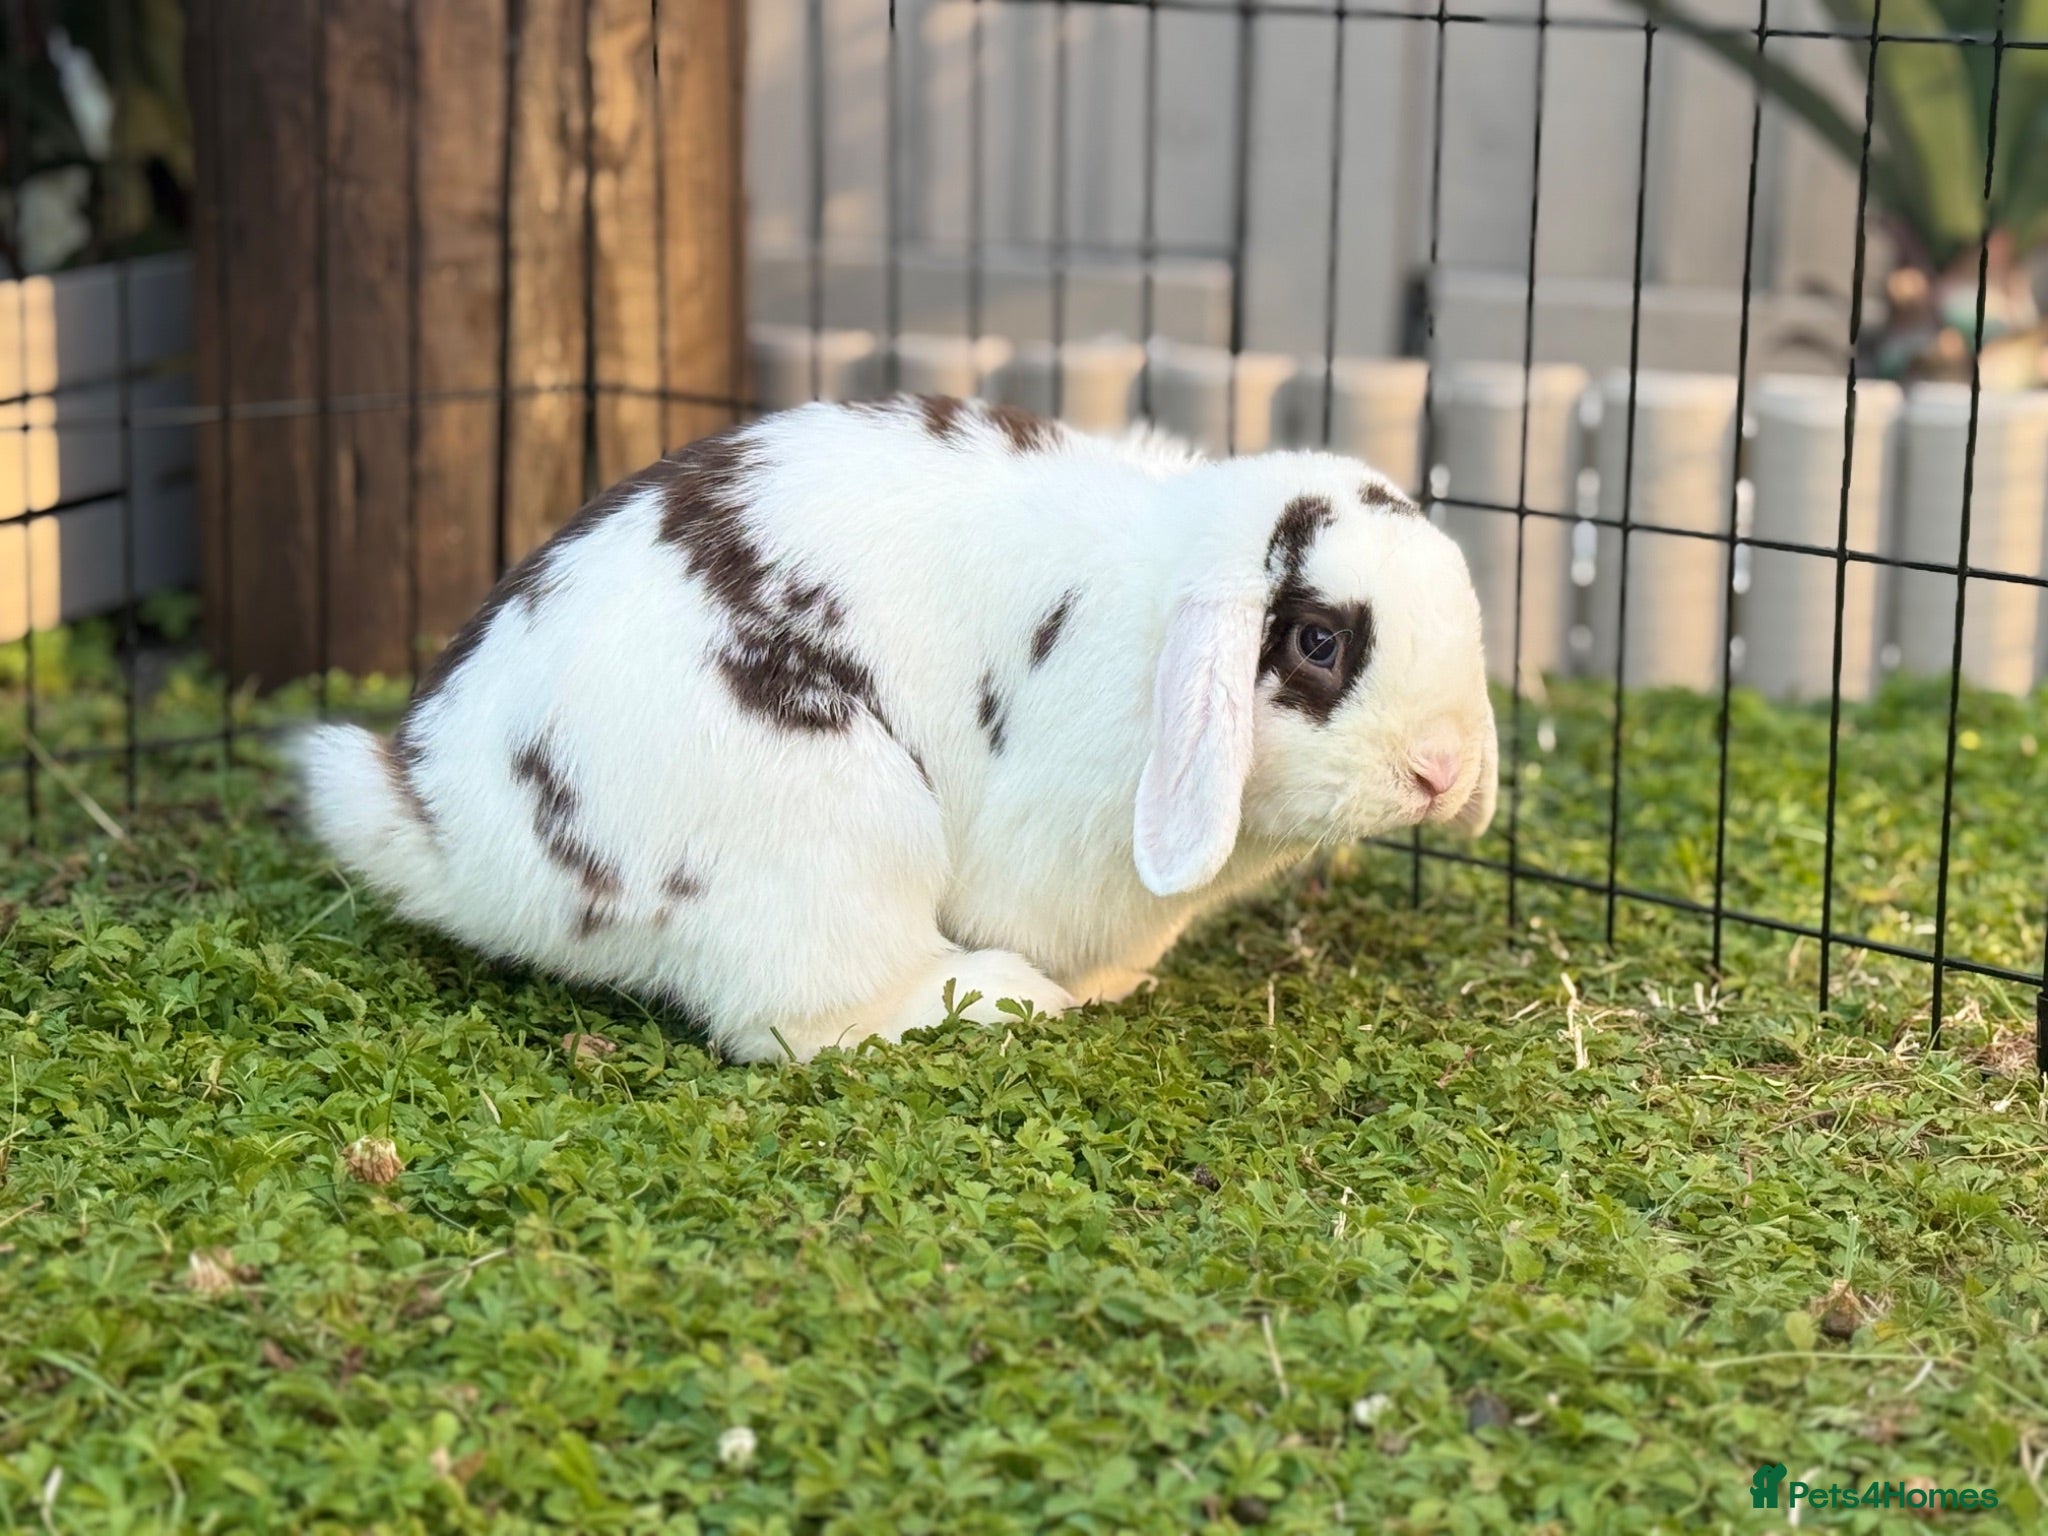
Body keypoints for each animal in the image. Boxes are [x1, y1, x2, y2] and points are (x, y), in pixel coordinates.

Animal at [295, 393, 1498, 1063]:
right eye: (1318, 643)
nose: (1441, 773)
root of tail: (451, 829)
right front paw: (1086, 988)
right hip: (830, 824)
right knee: (801, 1021)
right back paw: (1008, 1001)